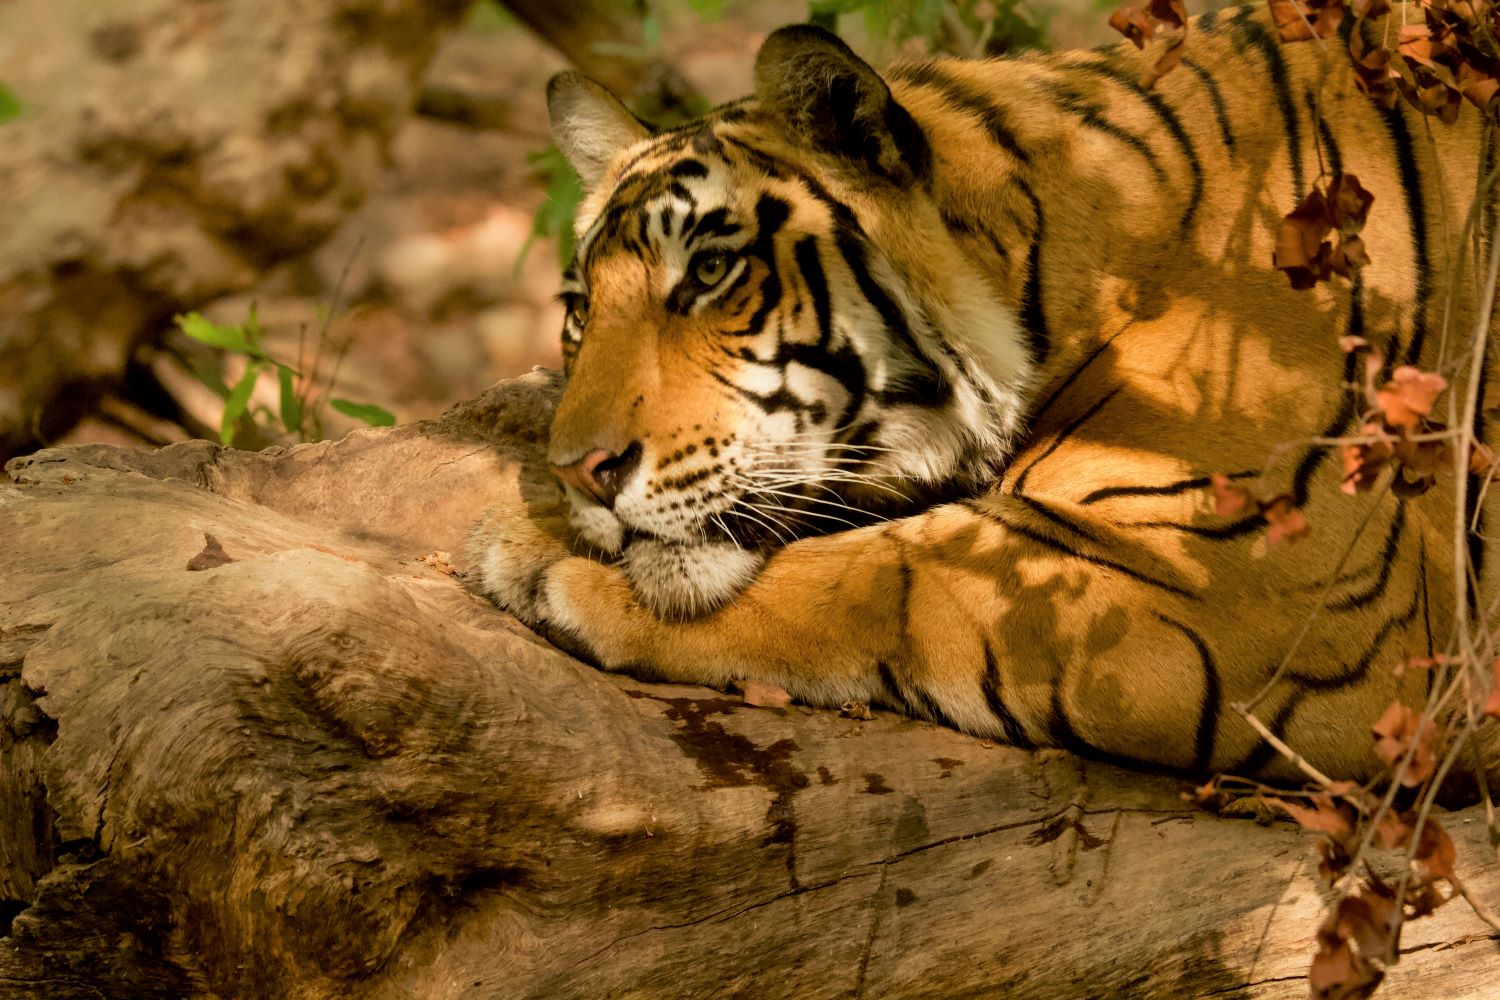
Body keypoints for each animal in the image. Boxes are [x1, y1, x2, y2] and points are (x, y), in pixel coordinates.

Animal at [471, 2, 1500, 787]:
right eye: (579, 309)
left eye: (712, 272)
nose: (582, 475)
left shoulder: (1273, 591)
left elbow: (891, 576)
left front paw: (536, 555)